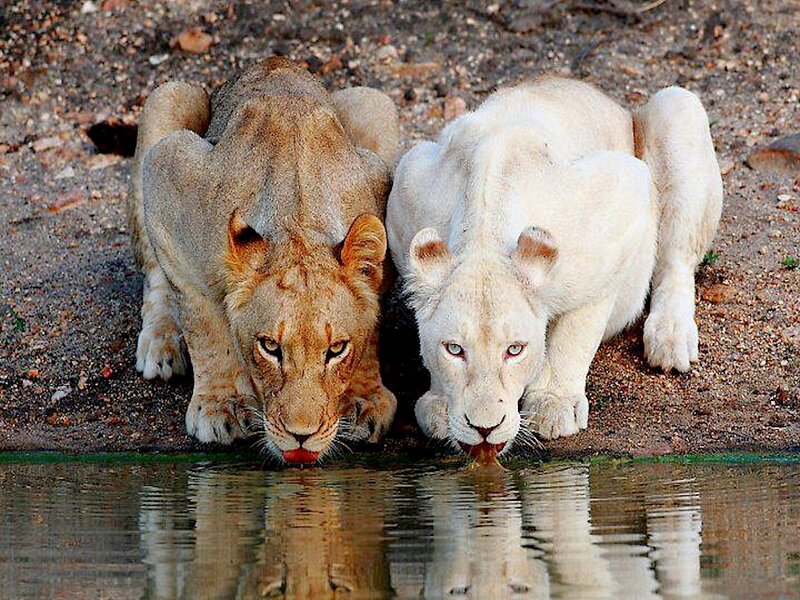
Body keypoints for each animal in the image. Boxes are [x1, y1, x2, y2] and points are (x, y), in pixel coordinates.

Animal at [127, 57, 399, 462]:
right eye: (270, 347)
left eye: (336, 350)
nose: (301, 436)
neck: (298, 221)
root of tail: (272, 61)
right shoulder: (169, 172)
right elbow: (203, 322)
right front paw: (221, 404)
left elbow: (371, 323)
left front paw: (363, 398)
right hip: (169, 97)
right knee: (155, 276)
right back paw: (160, 344)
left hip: (373, 102)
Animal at [387, 77, 722, 457]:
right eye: (454, 349)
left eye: (515, 349)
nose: (485, 429)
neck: (484, 234)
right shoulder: (407, 182)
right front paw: (441, 406)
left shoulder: (622, 198)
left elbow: (576, 331)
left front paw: (553, 405)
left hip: (678, 108)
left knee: (677, 261)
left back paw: (671, 338)